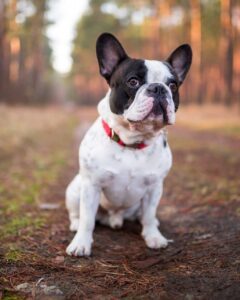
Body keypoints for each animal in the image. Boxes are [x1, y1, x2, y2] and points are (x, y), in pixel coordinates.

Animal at [65, 33, 191, 258]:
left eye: (173, 85)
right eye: (133, 81)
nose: (158, 88)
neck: (133, 141)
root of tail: (114, 218)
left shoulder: (154, 188)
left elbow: (149, 215)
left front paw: (153, 237)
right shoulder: (91, 186)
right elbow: (87, 219)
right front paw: (81, 243)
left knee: (144, 216)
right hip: (75, 189)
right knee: (77, 214)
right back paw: (75, 225)